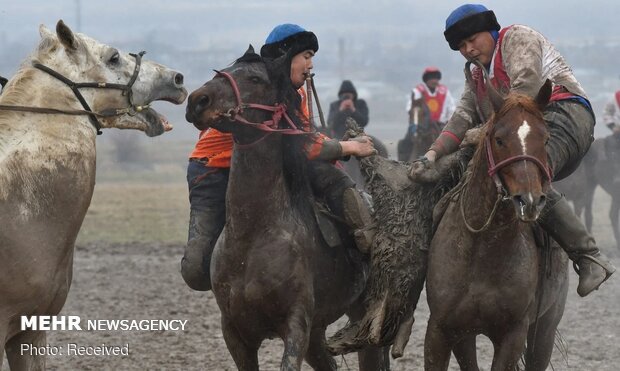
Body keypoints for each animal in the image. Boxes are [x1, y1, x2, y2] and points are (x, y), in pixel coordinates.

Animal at [184, 47, 388, 371]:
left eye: (255, 78)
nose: (197, 100)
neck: (252, 235)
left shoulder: (296, 326)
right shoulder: (235, 333)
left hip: (362, 316)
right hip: (318, 332)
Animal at [424, 78, 568, 370]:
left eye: (545, 139)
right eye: (499, 139)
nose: (530, 200)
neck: (482, 250)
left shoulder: (513, 334)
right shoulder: (442, 330)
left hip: (545, 329)